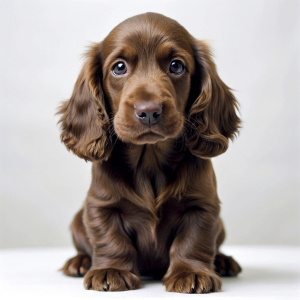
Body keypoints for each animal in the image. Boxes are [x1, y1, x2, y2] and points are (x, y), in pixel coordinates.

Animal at [58, 12, 241, 292]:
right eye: (119, 67)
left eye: (176, 66)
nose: (149, 111)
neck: (149, 159)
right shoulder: (101, 206)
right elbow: (110, 239)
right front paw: (111, 270)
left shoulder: (202, 206)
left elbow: (193, 240)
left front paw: (191, 272)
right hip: (79, 220)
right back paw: (78, 262)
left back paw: (223, 261)